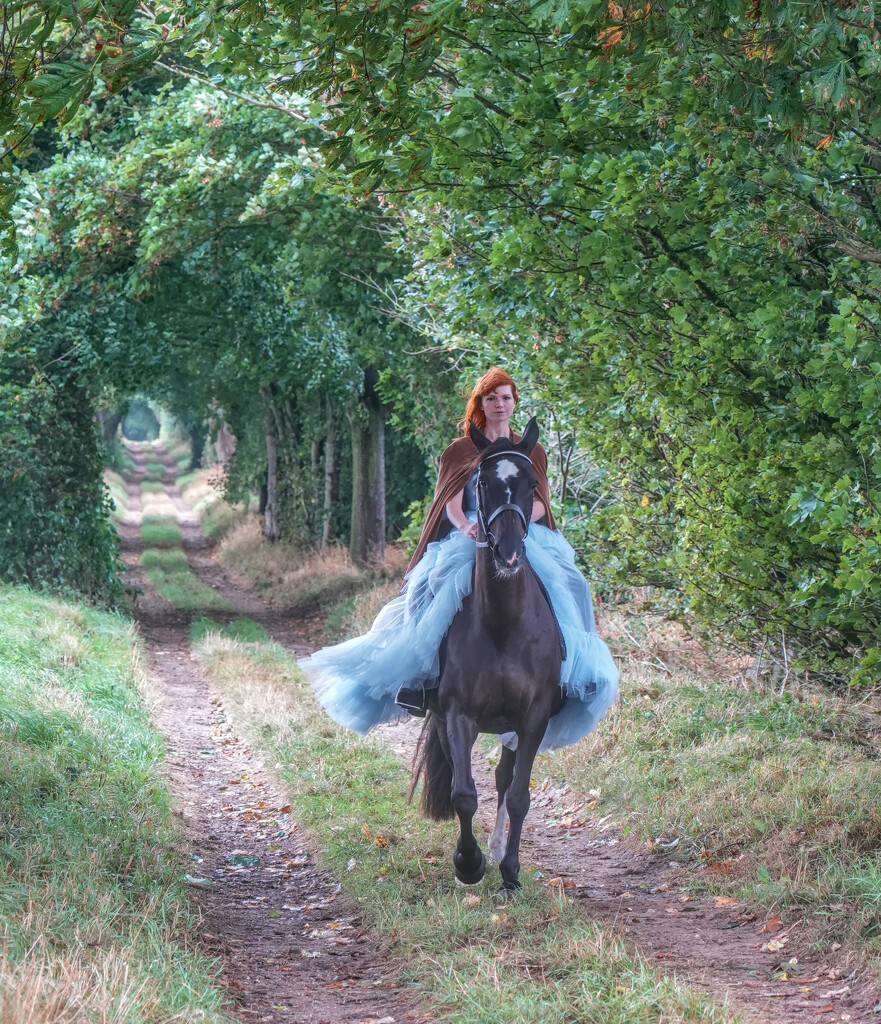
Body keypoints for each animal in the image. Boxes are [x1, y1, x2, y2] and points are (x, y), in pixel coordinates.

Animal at [413, 415, 565, 888]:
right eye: (481, 483)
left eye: (533, 483)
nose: (509, 553)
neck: (503, 624)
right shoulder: (457, 713)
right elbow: (463, 793)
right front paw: (469, 863)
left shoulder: (534, 716)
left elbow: (518, 795)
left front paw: (510, 872)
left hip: (511, 726)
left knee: (503, 778)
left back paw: (499, 848)